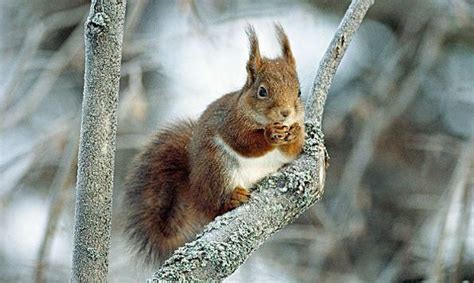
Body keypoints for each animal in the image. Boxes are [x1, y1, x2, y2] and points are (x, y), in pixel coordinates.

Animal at [124, 23, 306, 264]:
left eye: (299, 91)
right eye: (262, 91)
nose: (285, 113)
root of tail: (195, 190)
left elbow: (293, 151)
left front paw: (295, 133)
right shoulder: (230, 123)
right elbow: (245, 143)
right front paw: (270, 134)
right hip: (217, 166)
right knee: (216, 204)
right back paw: (233, 197)